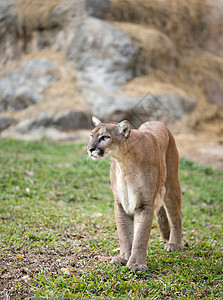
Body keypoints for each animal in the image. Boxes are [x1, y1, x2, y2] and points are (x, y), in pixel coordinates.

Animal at [87, 116, 183, 272]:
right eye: (91, 135)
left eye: (105, 137)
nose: (90, 149)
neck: (124, 163)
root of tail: (158, 122)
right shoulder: (120, 204)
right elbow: (124, 234)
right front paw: (124, 257)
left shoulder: (144, 204)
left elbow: (140, 237)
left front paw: (137, 264)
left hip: (171, 185)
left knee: (177, 216)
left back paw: (174, 244)